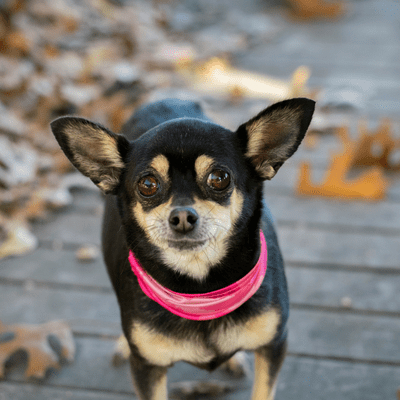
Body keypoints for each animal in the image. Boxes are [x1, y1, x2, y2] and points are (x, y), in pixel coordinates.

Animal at [51, 97, 316, 400]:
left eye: (219, 178)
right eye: (148, 184)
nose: (182, 217)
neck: (201, 293)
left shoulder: (273, 346)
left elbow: (262, 392)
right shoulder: (147, 369)